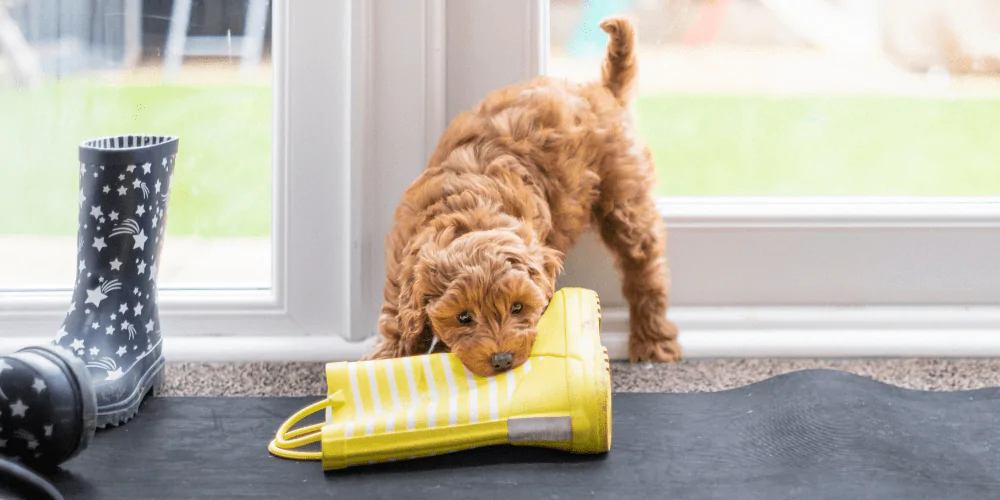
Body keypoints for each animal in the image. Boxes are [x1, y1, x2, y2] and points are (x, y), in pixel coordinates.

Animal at [364, 16, 684, 376]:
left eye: (517, 307)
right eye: (463, 317)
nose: (502, 360)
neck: (471, 211)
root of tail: (600, 91)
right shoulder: (402, 261)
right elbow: (398, 318)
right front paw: (389, 356)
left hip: (625, 196)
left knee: (646, 271)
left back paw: (653, 341)